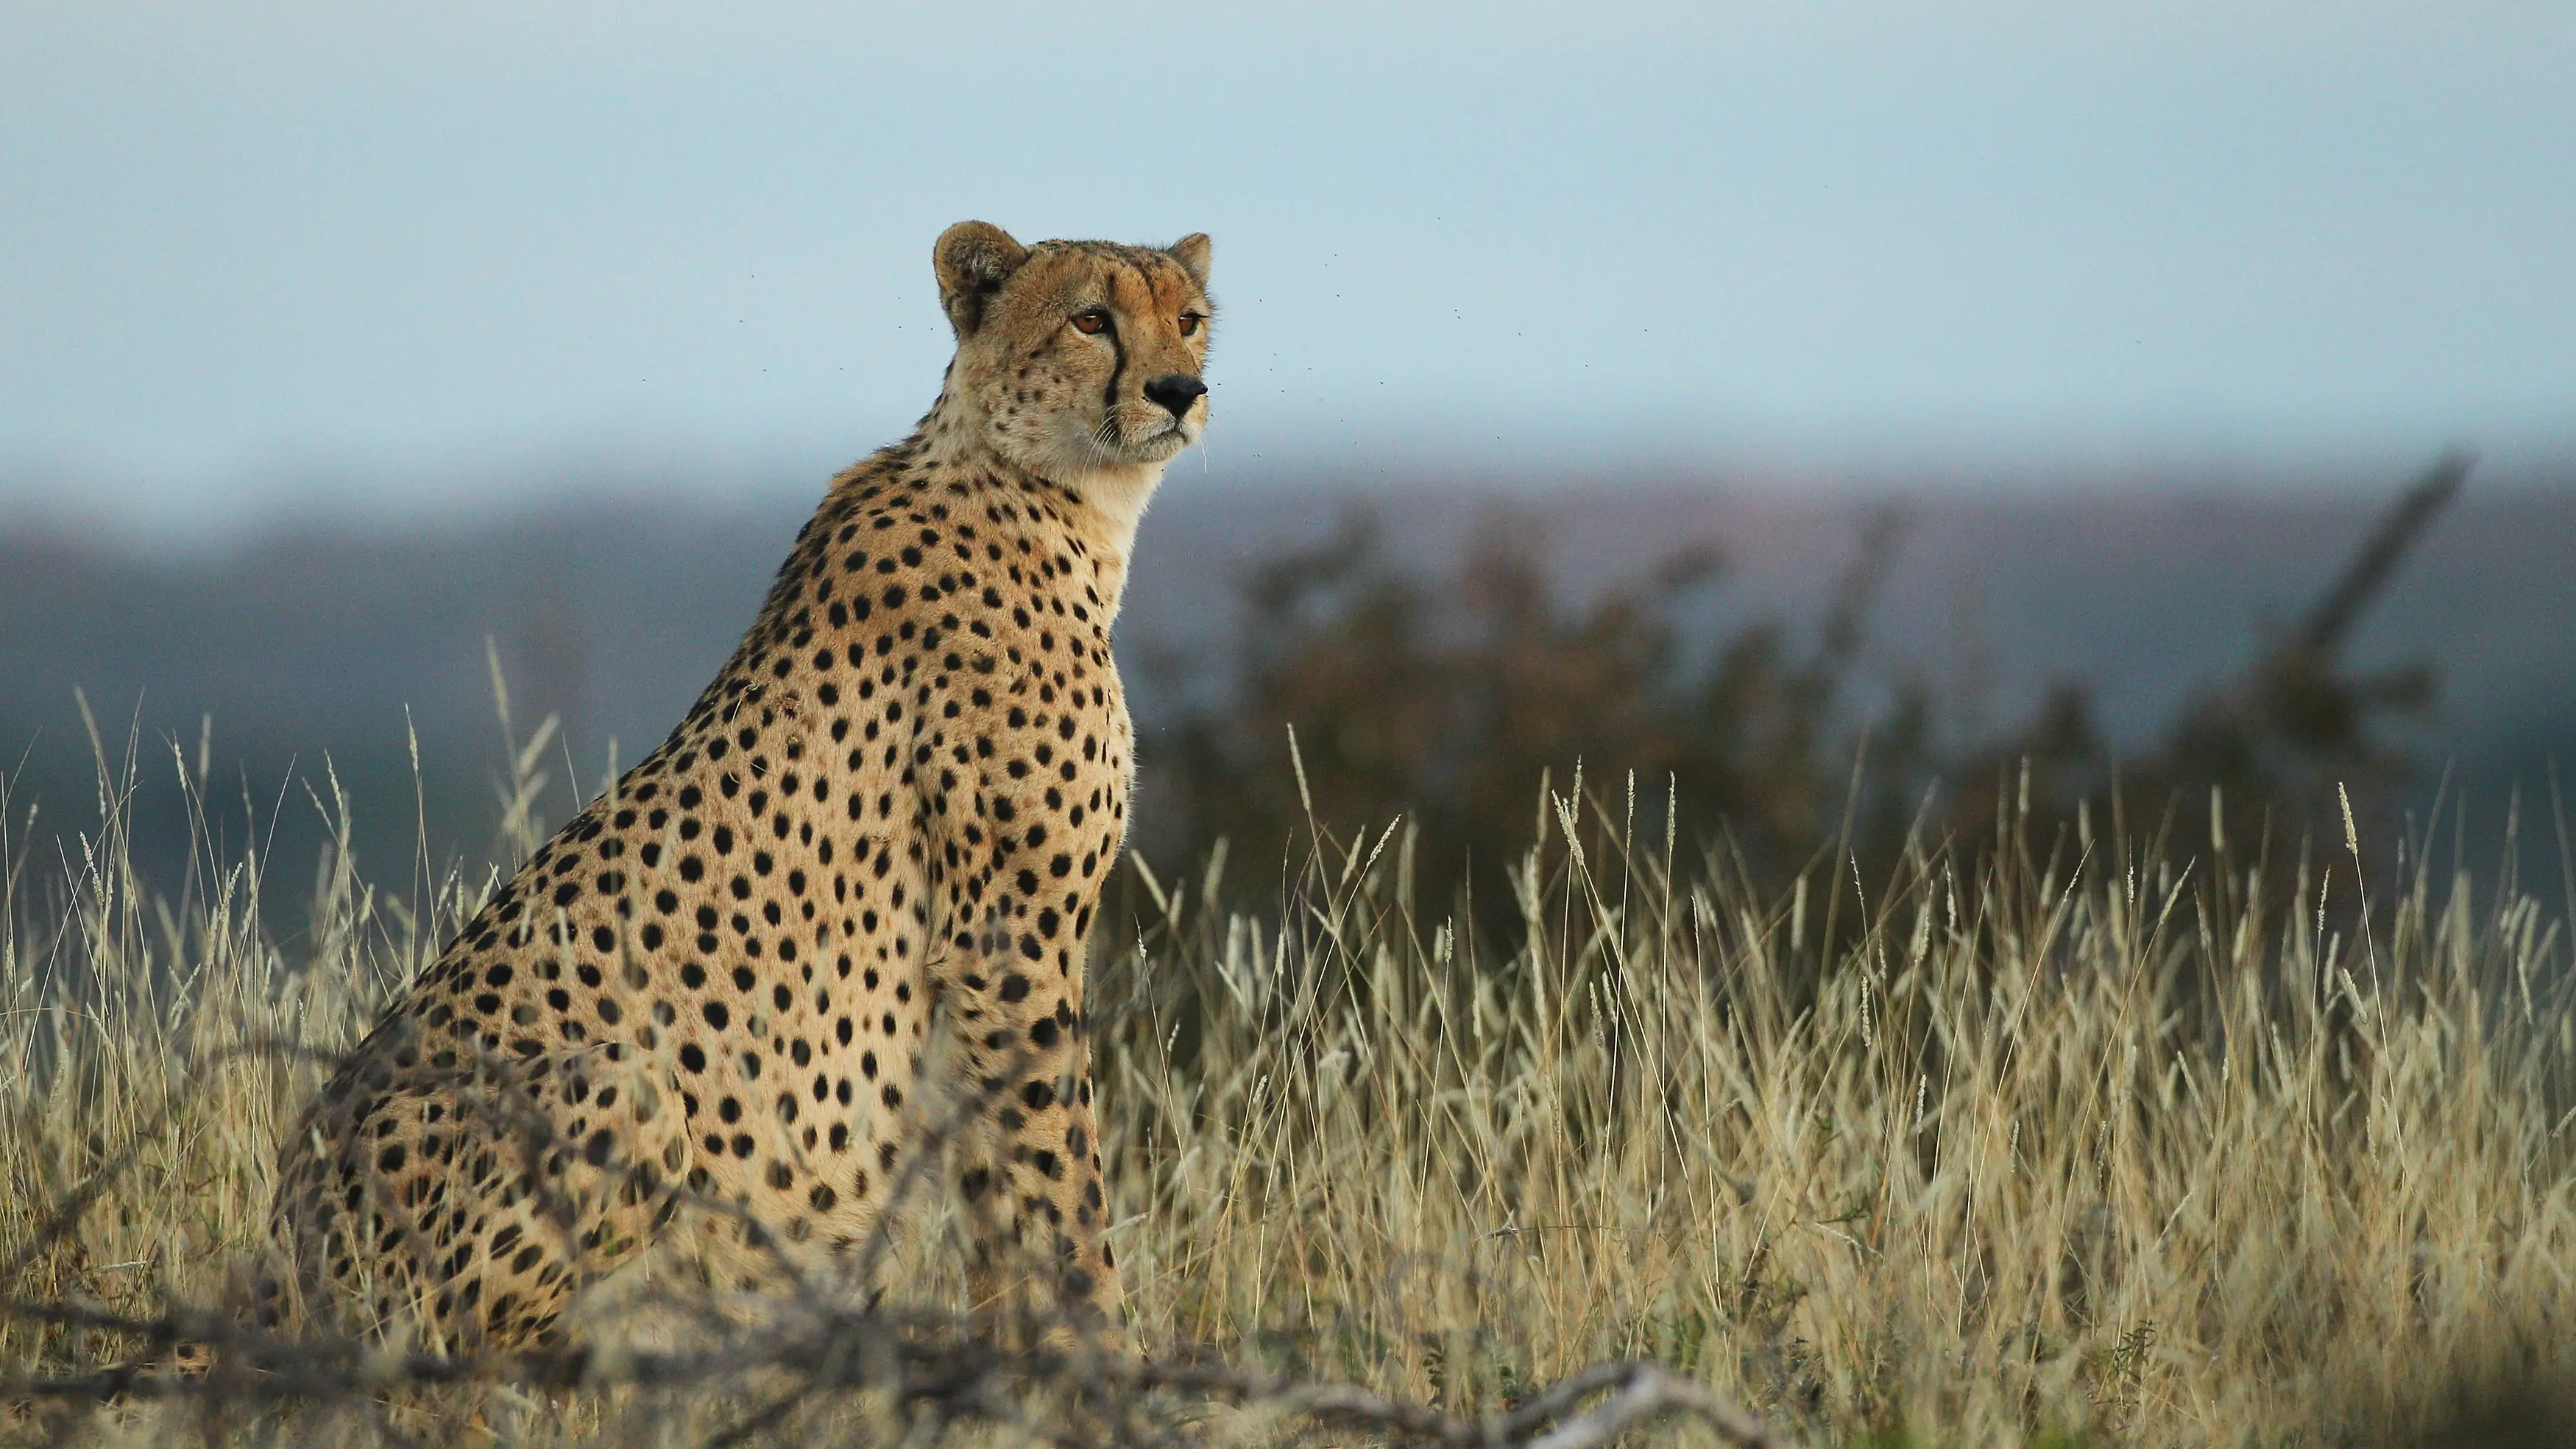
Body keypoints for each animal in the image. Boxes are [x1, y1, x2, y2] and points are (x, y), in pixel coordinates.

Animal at [265, 220, 1213, 1353]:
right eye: (1090, 319)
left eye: (1189, 318)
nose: (1180, 389)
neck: (1051, 491)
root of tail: (276, 1245)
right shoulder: (1009, 938)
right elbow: (1060, 1174)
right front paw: (1104, 1349)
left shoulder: (982, 961)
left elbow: (999, 1183)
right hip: (617, 1087)